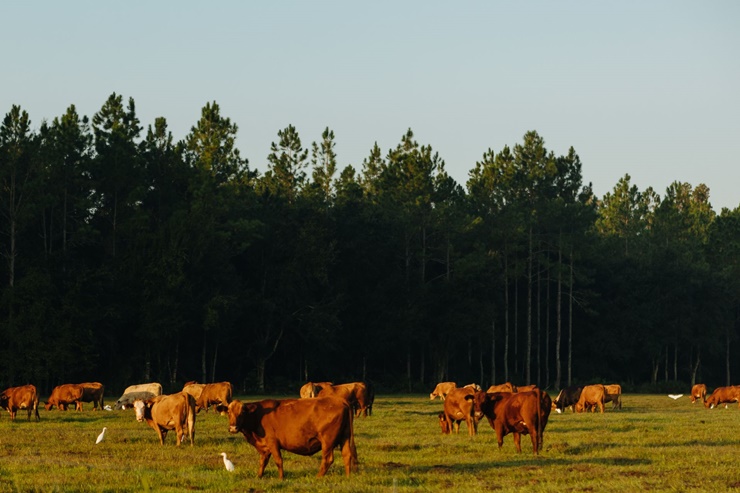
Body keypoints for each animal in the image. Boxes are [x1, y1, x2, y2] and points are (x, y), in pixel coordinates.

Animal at [230, 396, 360, 476]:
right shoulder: (264, 447)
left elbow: (278, 461)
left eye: (242, 412)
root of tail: (341, 401)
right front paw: (259, 476)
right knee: (347, 455)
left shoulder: (273, 443)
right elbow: (263, 462)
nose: (233, 428)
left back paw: (318, 477)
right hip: (345, 438)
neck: (258, 415)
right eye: (228, 412)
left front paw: (281, 478)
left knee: (328, 459)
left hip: (327, 442)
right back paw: (347, 476)